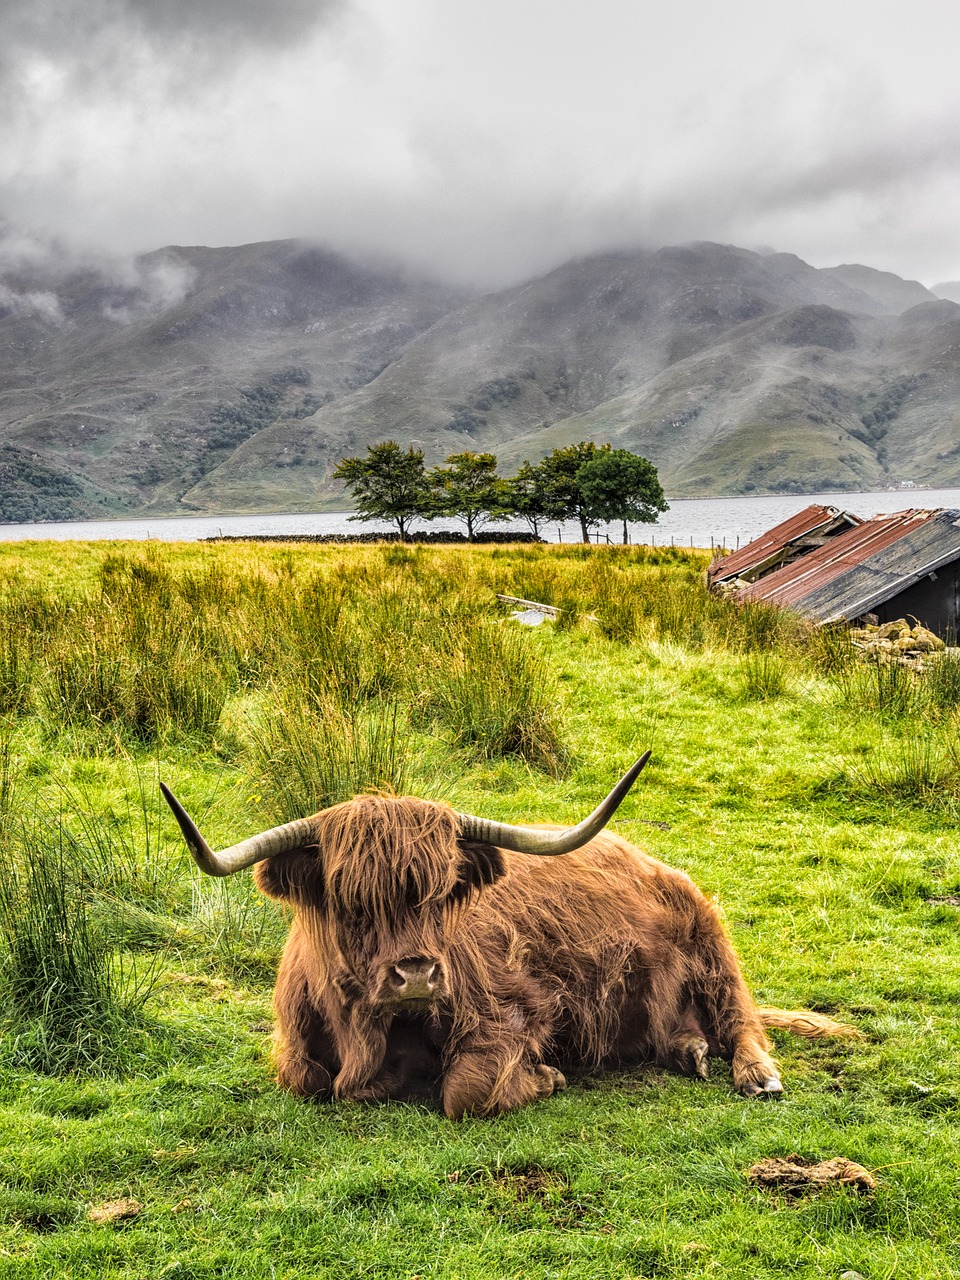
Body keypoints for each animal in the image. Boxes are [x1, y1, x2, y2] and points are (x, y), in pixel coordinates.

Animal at [161, 752, 855, 1116]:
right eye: (353, 901)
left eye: (444, 892)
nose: (417, 973)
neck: (368, 1032)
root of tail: (654, 861)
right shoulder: (300, 1052)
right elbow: (306, 1078)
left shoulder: (520, 1007)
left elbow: (464, 1091)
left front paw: (545, 1078)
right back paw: (688, 1051)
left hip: (711, 942)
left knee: (741, 1017)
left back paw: (754, 1074)